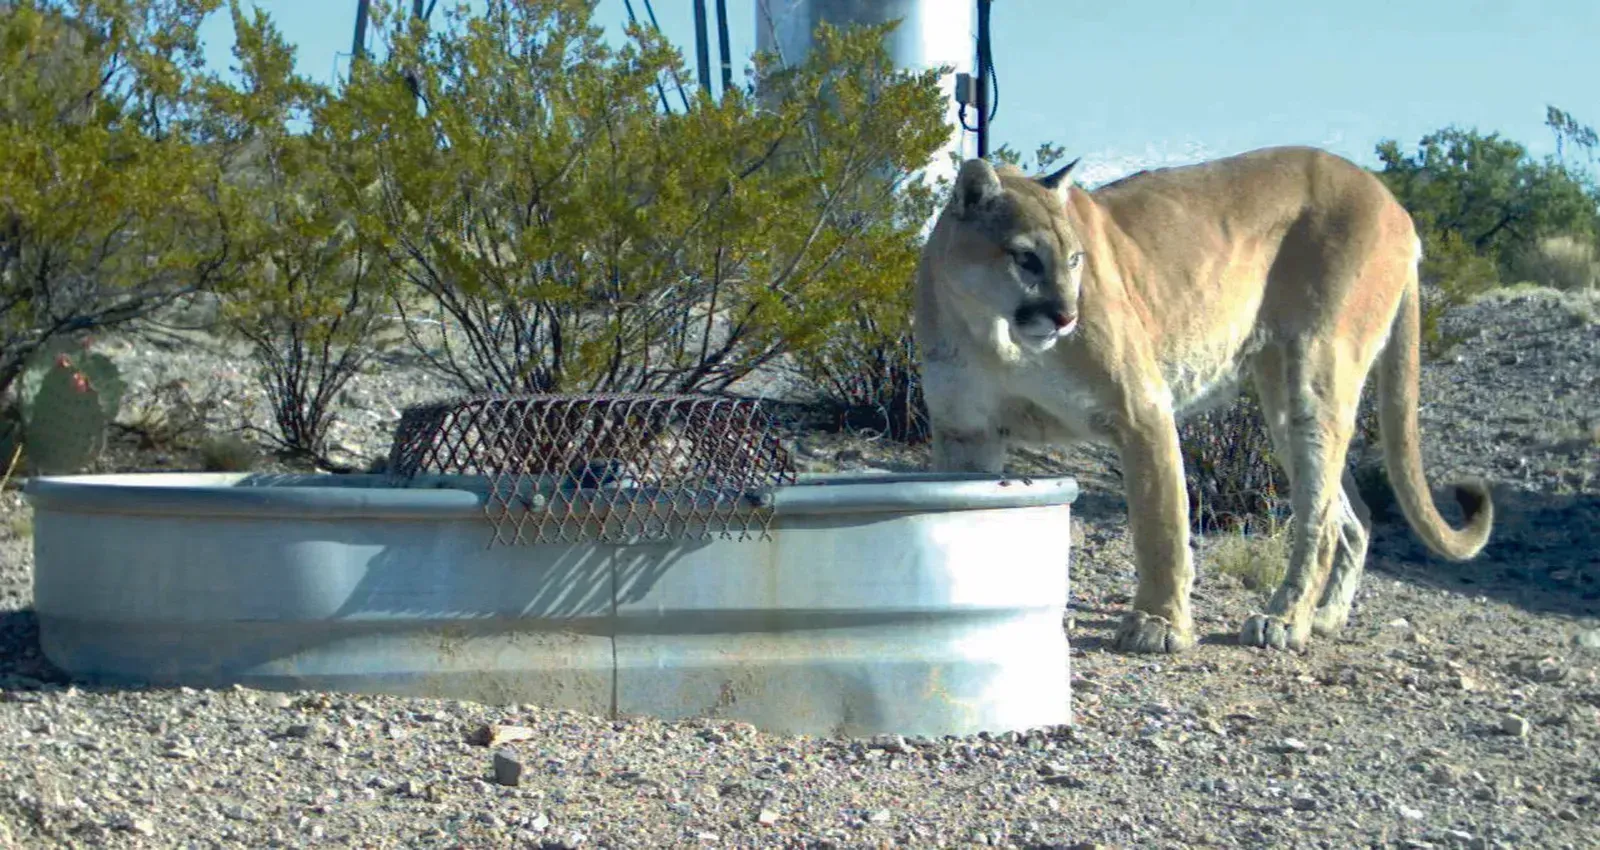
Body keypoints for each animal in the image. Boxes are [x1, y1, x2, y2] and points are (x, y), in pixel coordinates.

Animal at [914, 145, 1493, 654]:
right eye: (1026, 258)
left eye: (1075, 259)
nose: (1066, 315)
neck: (993, 332)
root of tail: (1392, 202)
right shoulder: (967, 434)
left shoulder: (1141, 409)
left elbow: (1161, 523)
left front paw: (1158, 626)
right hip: (1282, 400)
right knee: (1353, 512)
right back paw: (1325, 617)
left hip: (1317, 372)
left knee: (1321, 518)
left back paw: (1285, 621)